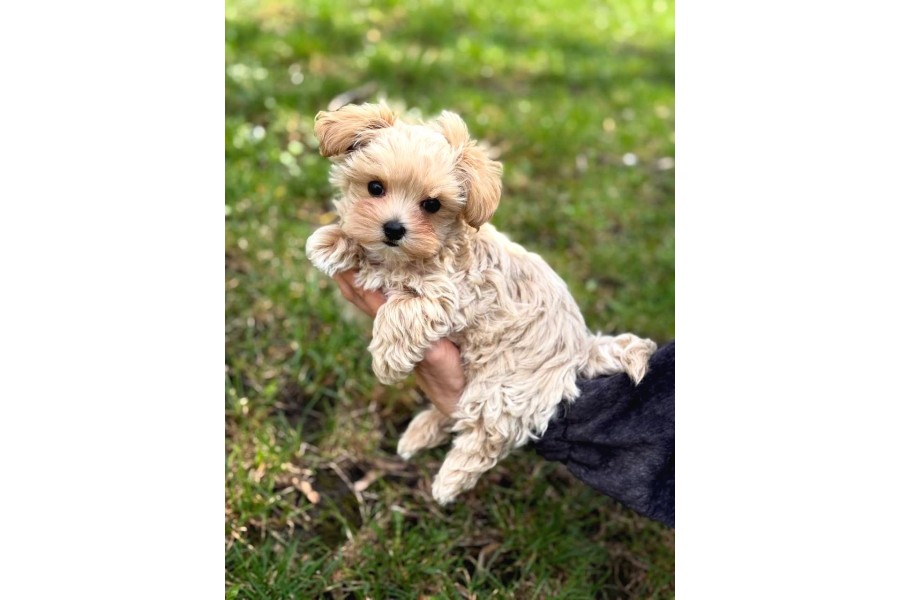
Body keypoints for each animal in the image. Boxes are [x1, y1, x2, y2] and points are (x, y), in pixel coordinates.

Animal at [305, 103, 657, 505]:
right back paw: (420, 432)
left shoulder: (447, 296)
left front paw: (387, 361)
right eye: (374, 187)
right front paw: (334, 240)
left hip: (506, 387)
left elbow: (399, 311)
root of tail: (582, 347)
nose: (393, 229)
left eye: (431, 205)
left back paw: (449, 480)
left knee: (487, 433)